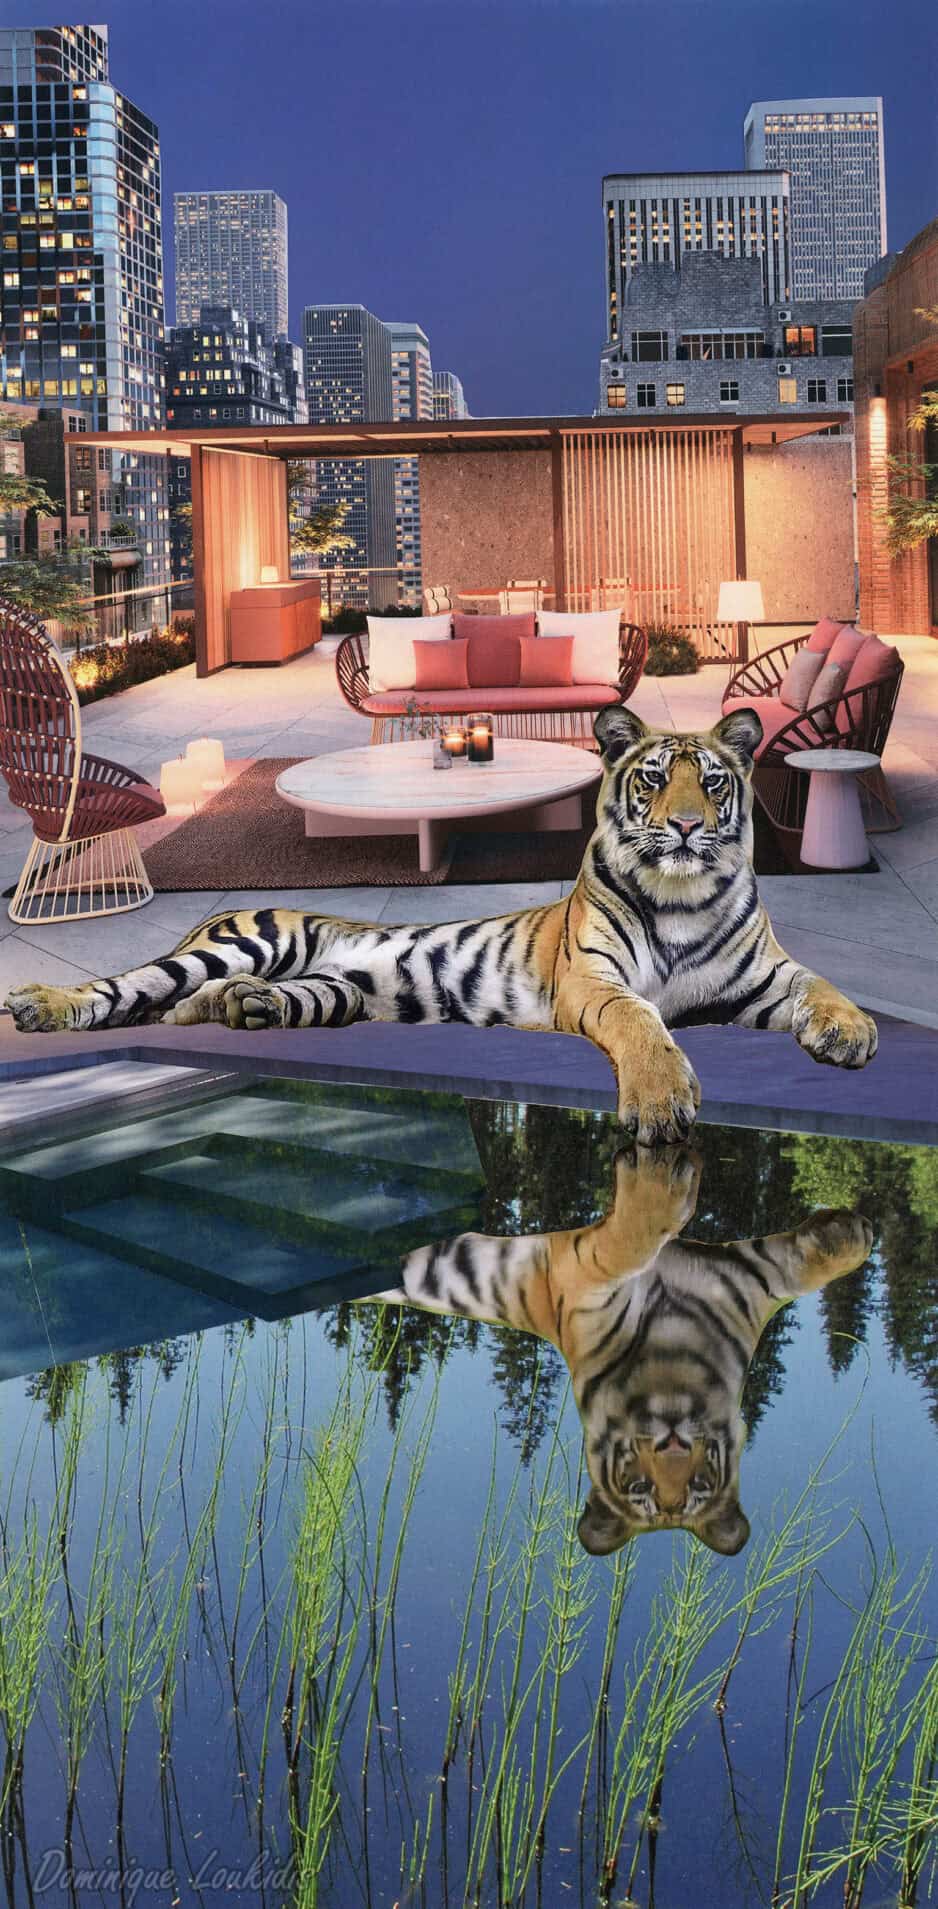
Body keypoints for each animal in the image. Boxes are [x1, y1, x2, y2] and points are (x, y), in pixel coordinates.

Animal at [5, 704, 877, 1146]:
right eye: (656, 779)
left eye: (715, 782)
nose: (690, 827)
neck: (682, 896)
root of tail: (215, 915)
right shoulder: (593, 980)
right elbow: (640, 1021)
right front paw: (662, 1100)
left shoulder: (763, 978)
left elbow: (823, 982)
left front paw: (850, 1030)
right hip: (247, 938)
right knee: (123, 988)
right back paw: (39, 1004)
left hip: (331, 990)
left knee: (201, 1007)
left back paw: (241, 1007)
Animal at [374, 1146, 873, 1555]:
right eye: (639, 1488)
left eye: (699, 1485)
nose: (672, 1445)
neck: (671, 1366)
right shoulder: (579, 1277)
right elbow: (625, 1242)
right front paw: (661, 1183)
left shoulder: (749, 1281)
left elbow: (795, 1273)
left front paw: (849, 1235)